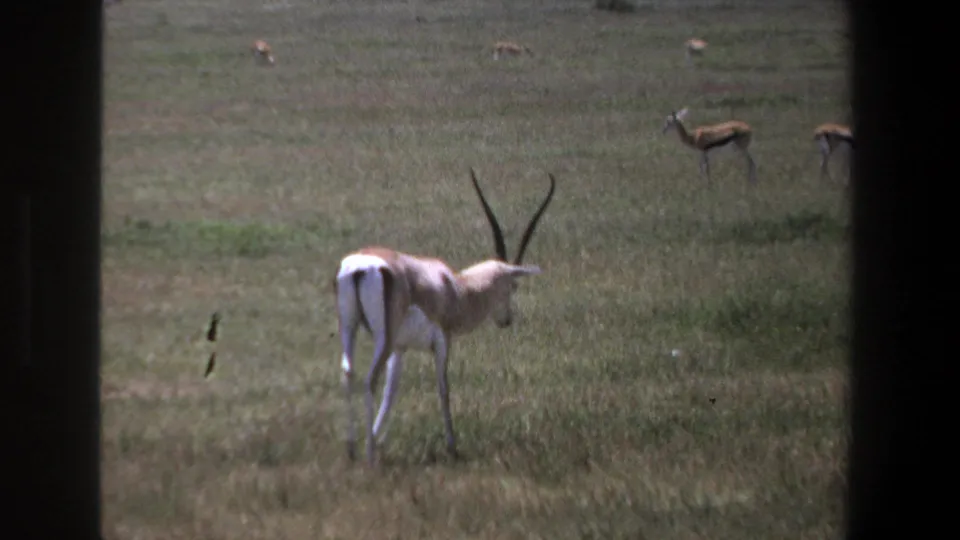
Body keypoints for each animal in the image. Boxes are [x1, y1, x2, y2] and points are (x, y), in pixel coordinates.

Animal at [334, 169, 556, 465]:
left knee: (348, 373)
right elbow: (444, 388)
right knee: (370, 380)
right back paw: (369, 456)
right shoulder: (441, 341)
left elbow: (391, 392)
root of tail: (361, 266)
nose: (506, 320)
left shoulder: (401, 348)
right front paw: (452, 446)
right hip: (383, 338)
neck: (454, 286)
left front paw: (378, 438)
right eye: (513, 286)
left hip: (350, 328)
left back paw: (351, 450)